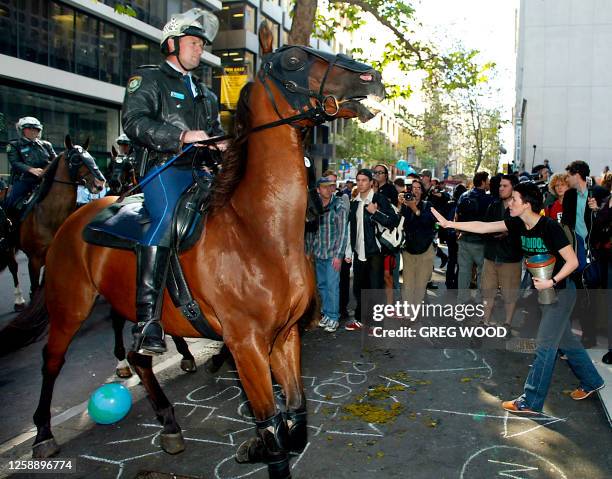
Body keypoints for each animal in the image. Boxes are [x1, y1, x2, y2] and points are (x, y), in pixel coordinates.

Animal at [29, 31, 382, 478]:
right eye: (293, 61)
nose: (372, 78)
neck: (260, 231)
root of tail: (75, 217)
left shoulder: (284, 338)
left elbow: (295, 420)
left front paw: (251, 446)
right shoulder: (247, 344)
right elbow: (273, 429)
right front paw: (259, 445)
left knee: (138, 357)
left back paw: (169, 423)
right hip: (69, 307)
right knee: (52, 361)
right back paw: (43, 433)